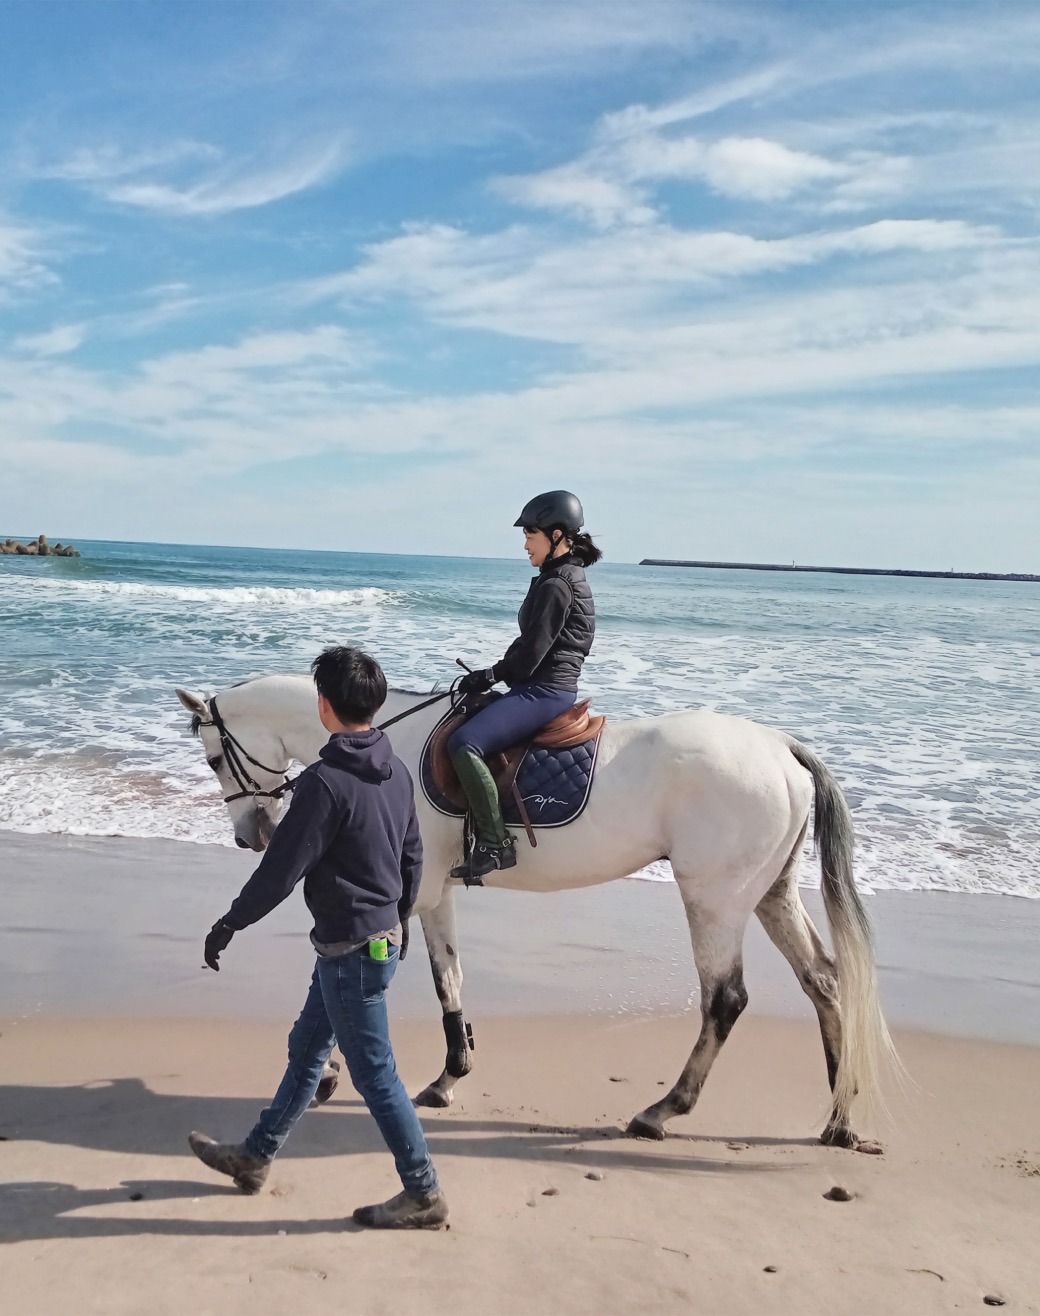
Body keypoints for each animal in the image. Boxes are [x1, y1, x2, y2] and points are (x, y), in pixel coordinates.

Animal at [175, 672, 897, 1148]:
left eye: (213, 759)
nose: (252, 837)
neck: (385, 746)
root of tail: (781, 746)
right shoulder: (433, 892)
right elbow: (447, 979)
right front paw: (449, 1077)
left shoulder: (404, 891)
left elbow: (344, 981)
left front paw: (324, 1071)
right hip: (770, 894)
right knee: (823, 982)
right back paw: (839, 1119)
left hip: (714, 899)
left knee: (726, 999)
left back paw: (662, 1111)